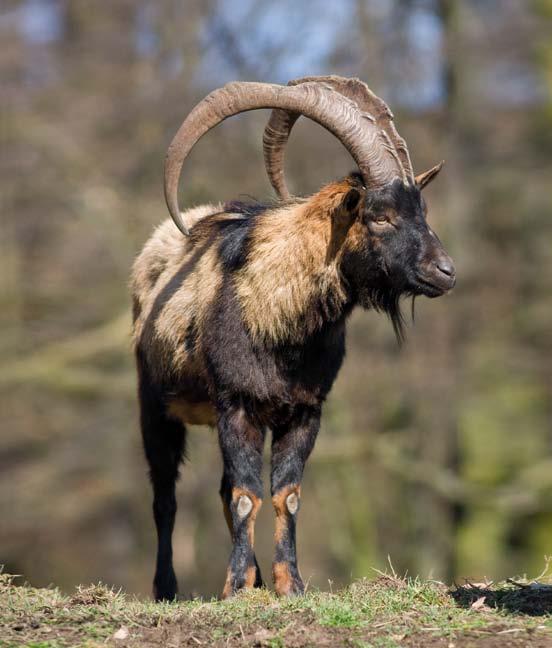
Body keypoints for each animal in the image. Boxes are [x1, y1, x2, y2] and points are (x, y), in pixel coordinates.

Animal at [132, 76, 454, 604]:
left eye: (422, 210)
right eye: (380, 216)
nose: (445, 272)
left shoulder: (303, 411)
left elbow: (286, 495)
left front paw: (289, 585)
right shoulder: (236, 404)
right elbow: (245, 496)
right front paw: (235, 587)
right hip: (156, 407)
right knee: (165, 498)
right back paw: (167, 588)